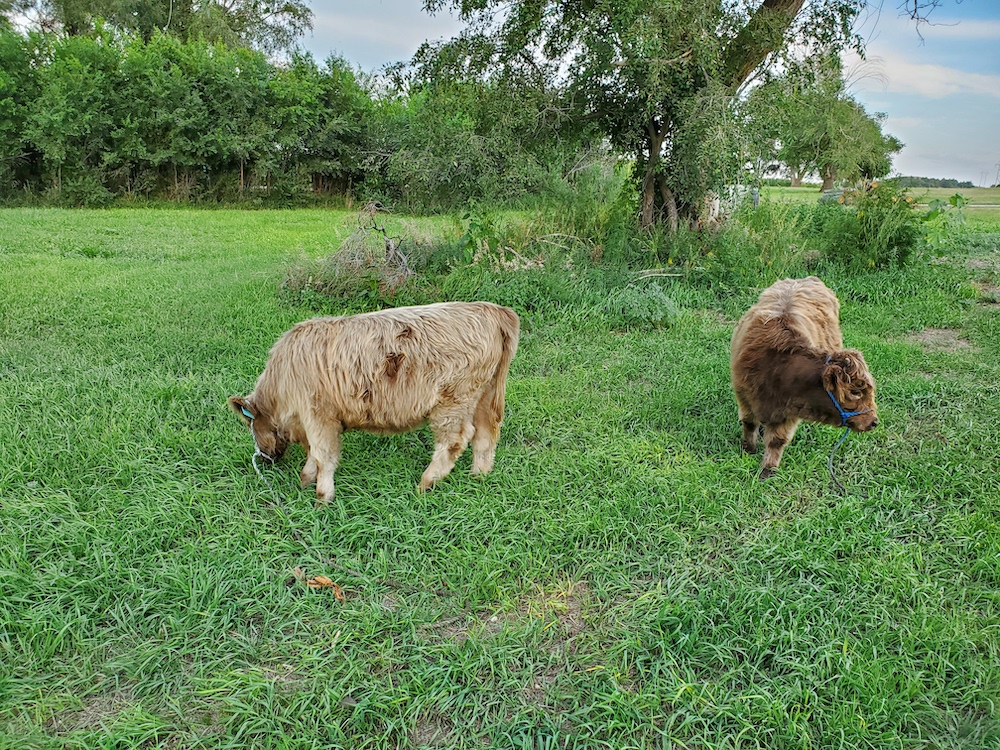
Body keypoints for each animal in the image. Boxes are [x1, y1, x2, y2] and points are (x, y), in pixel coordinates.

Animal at [229, 302, 520, 506]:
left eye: (251, 427)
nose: (265, 458)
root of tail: (493, 310)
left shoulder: (319, 414)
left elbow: (323, 454)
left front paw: (322, 497)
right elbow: (315, 454)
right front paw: (306, 479)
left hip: (454, 400)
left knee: (456, 439)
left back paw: (426, 483)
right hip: (484, 396)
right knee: (485, 434)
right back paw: (478, 476)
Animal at [732, 278, 880, 482]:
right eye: (856, 392)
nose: (874, 421)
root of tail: (806, 279)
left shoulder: (790, 413)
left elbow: (777, 441)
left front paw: (768, 470)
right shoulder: (743, 395)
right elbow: (749, 423)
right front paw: (748, 449)